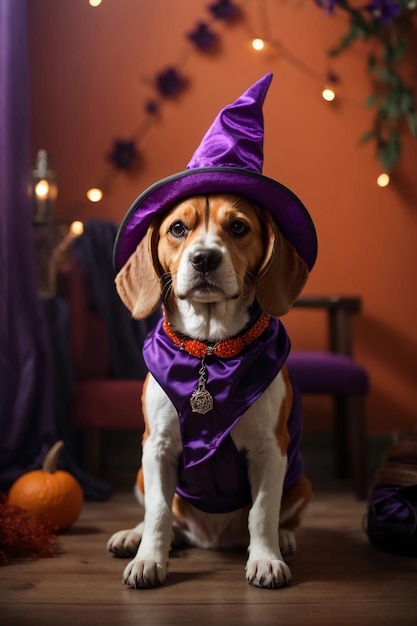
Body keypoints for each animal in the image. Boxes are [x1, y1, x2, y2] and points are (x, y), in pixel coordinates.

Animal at [107, 193, 312, 588]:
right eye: (177, 228)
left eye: (238, 226)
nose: (204, 257)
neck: (210, 350)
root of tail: (209, 539)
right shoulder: (157, 447)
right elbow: (158, 512)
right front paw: (148, 559)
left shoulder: (270, 449)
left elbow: (263, 511)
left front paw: (265, 559)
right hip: (141, 474)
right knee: (163, 518)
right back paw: (134, 537)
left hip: (301, 482)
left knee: (284, 516)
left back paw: (285, 537)